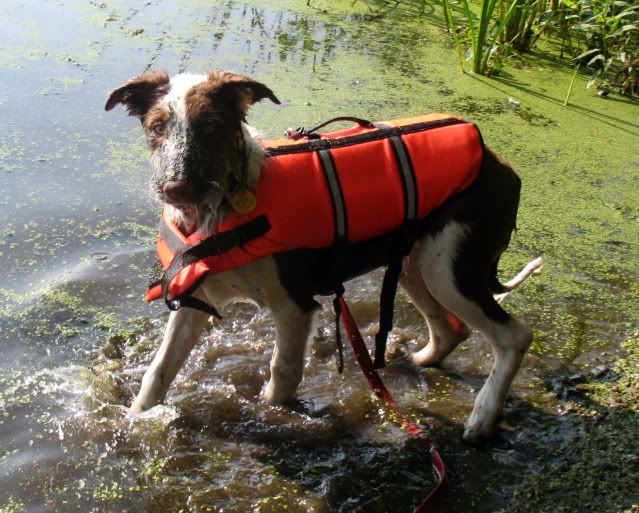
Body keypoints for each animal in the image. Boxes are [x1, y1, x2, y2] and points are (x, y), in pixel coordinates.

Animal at [106, 69, 544, 444]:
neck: (223, 208)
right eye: (156, 128)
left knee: (514, 337)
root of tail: (499, 163)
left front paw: (271, 414)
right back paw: (416, 361)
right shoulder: (194, 300)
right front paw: (133, 420)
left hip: (449, 270)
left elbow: (281, 375)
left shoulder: (295, 306)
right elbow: (158, 373)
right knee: (452, 328)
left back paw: (483, 416)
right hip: (415, 263)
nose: (175, 189)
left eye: (212, 127)